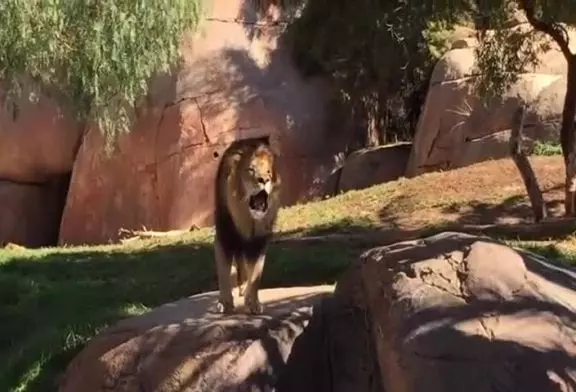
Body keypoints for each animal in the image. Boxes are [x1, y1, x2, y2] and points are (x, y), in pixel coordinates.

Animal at [214, 136, 282, 314]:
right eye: (251, 170)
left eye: (269, 172)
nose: (265, 180)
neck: (248, 218)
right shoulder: (225, 235)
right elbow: (224, 272)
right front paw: (225, 302)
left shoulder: (259, 241)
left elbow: (256, 274)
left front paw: (253, 303)